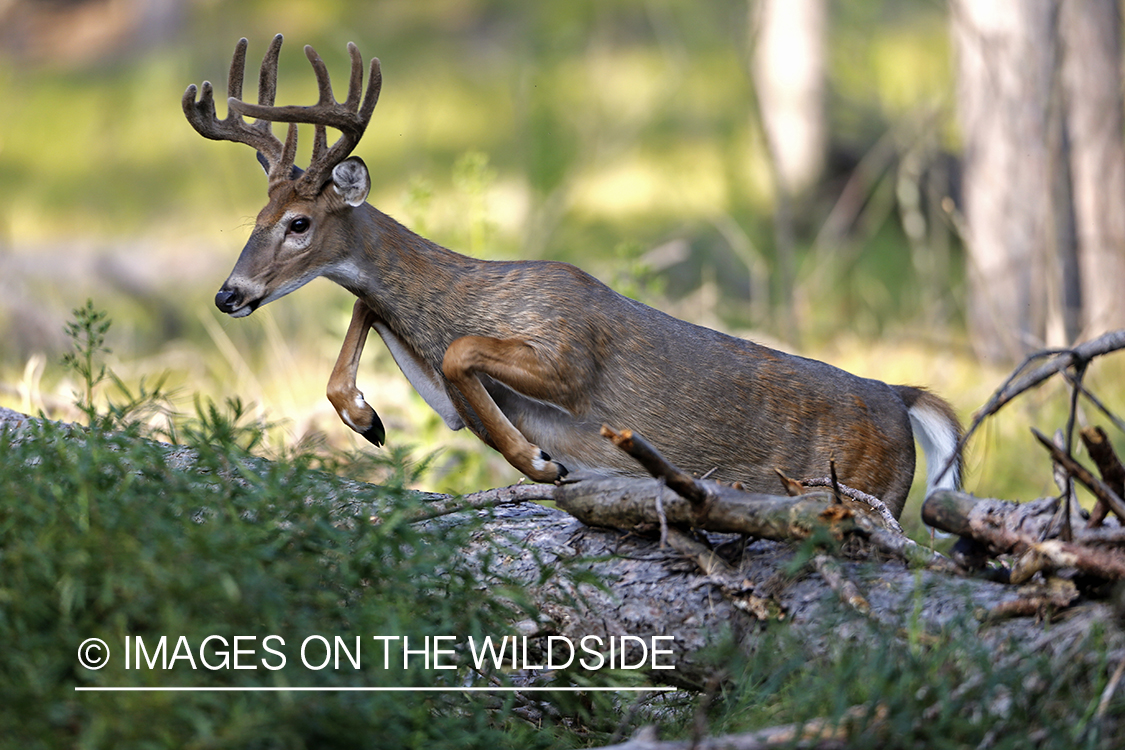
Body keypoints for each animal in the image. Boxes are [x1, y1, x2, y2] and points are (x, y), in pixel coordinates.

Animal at [180, 33, 963, 517]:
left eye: (298, 223)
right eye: (255, 215)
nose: (229, 294)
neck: (477, 296)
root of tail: (901, 397)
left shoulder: (567, 351)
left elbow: (463, 353)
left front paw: (539, 460)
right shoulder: (434, 379)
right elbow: (372, 320)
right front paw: (366, 418)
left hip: (868, 488)